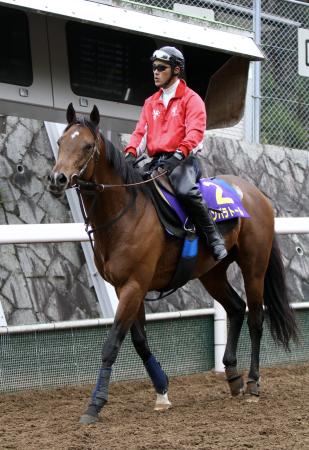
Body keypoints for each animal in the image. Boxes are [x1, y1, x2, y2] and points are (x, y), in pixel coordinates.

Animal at [47, 104, 298, 426]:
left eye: (88, 146)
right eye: (60, 142)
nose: (58, 179)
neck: (125, 211)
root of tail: (257, 195)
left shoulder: (134, 285)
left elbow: (112, 343)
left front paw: (95, 404)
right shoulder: (125, 288)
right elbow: (139, 341)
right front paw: (162, 389)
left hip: (254, 266)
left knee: (255, 317)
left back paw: (253, 381)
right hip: (212, 273)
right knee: (235, 308)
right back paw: (232, 375)